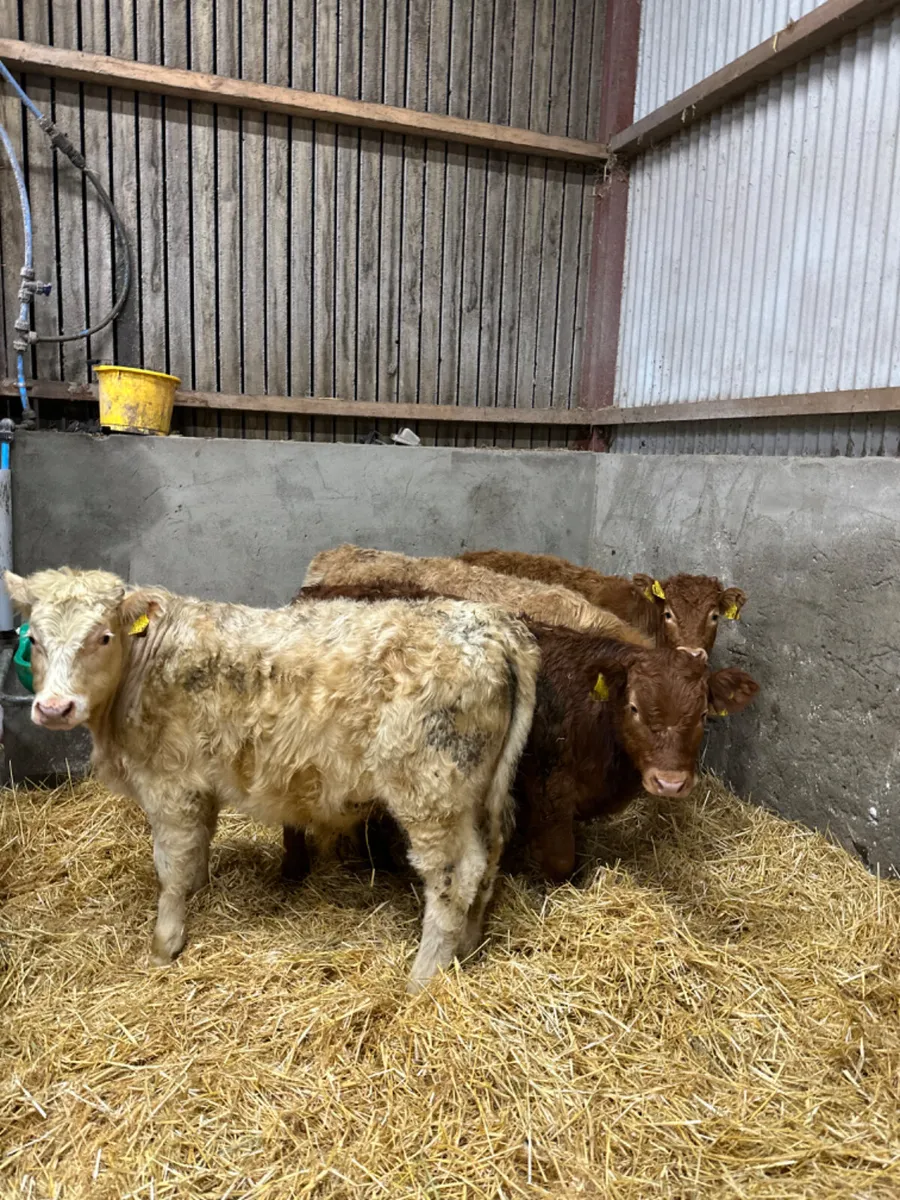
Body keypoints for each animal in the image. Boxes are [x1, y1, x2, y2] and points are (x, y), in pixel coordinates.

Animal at [5, 566, 540, 993]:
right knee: (489, 859)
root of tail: (493, 625)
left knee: (454, 875)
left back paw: (422, 979)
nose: (54, 708)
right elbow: (197, 849)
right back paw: (467, 951)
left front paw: (164, 946)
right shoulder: (200, 785)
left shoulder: (170, 784)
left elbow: (171, 866)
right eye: (36, 641)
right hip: (477, 793)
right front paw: (198, 895)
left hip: (430, 788)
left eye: (103, 637)